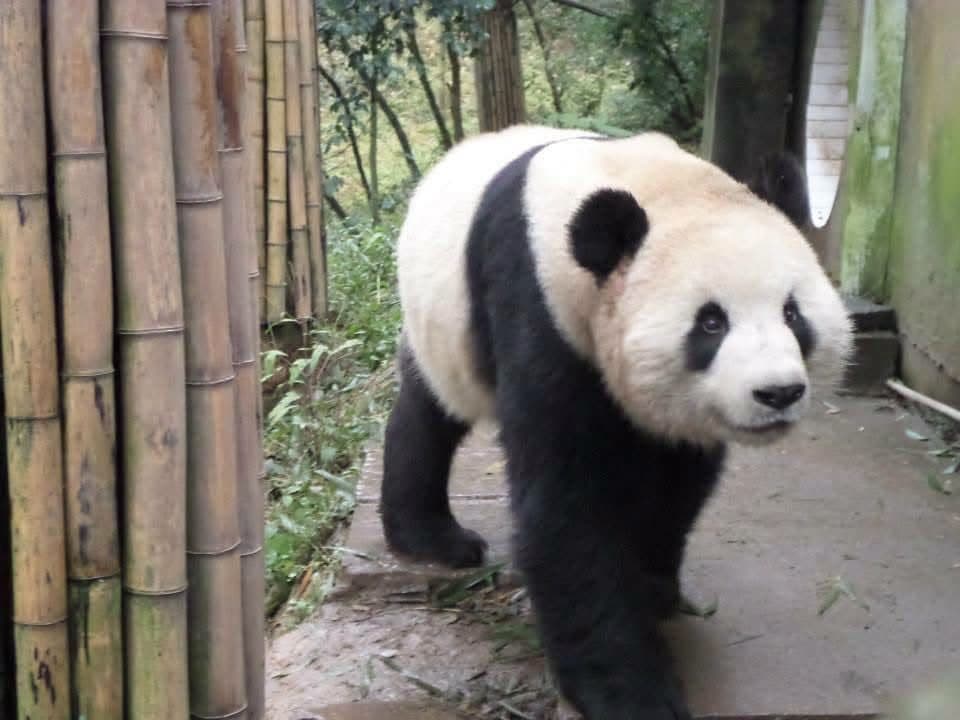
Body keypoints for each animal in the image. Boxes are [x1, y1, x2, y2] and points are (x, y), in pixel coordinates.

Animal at [380, 125, 853, 719]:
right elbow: (566, 507)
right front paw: (633, 692)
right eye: (711, 322)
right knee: (429, 416)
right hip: (440, 326)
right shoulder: (537, 306)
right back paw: (434, 537)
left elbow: (676, 480)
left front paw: (654, 590)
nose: (777, 392)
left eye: (792, 313)